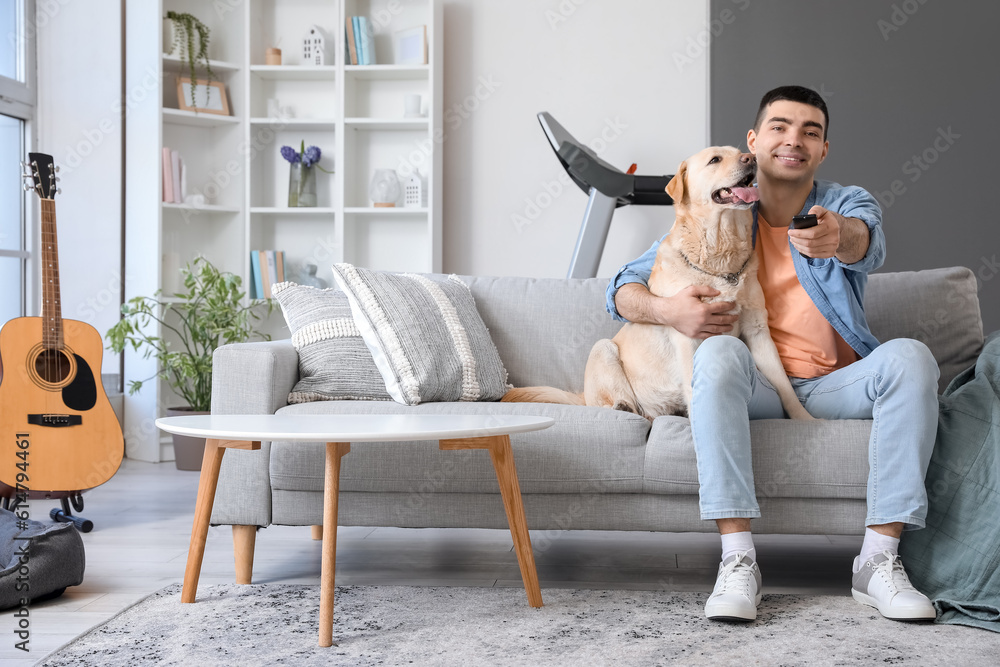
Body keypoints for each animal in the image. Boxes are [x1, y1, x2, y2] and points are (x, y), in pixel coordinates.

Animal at [504, 146, 816, 420]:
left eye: (742, 152)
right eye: (715, 159)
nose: (751, 158)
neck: (720, 257)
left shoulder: (758, 330)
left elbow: (784, 386)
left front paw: (806, 419)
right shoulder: (689, 333)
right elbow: (692, 382)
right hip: (603, 349)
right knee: (613, 404)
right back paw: (624, 408)